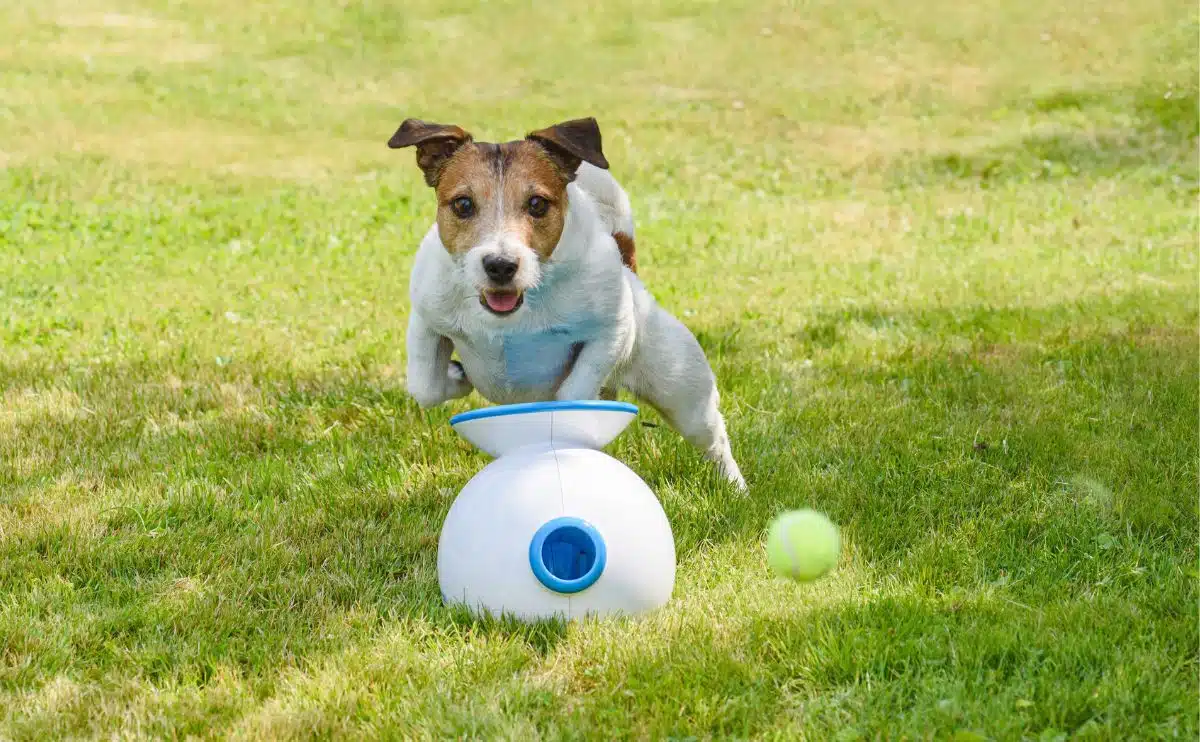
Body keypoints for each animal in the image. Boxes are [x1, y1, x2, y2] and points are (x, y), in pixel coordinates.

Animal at [393, 115, 744, 487]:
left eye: (537, 204)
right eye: (463, 204)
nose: (500, 265)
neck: (512, 319)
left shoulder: (612, 331)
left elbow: (572, 393)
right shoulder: (426, 322)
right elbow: (425, 386)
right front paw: (457, 375)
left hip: (683, 391)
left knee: (714, 439)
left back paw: (735, 487)